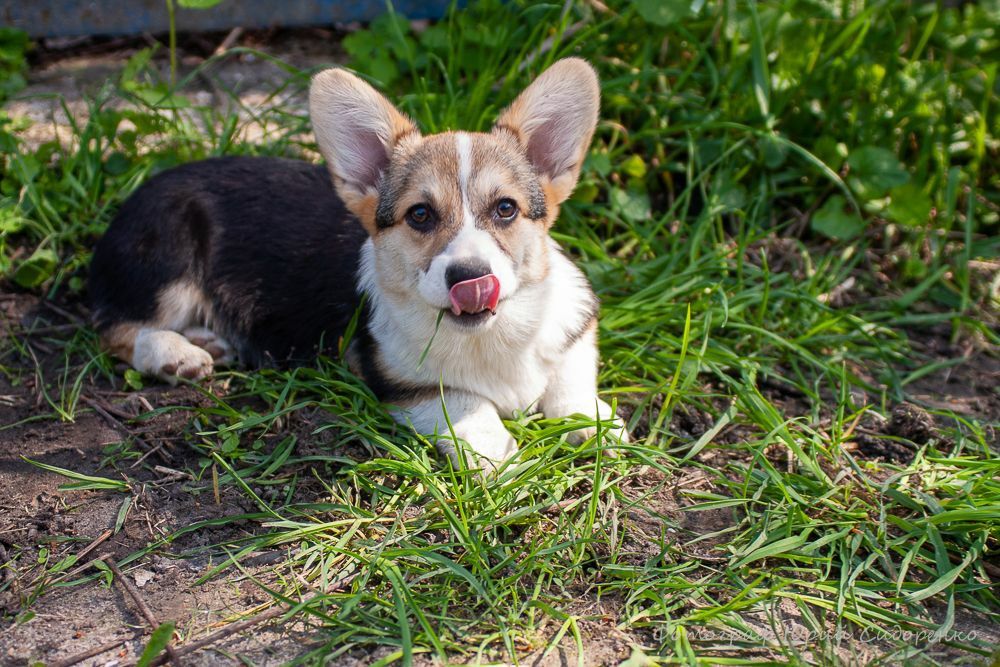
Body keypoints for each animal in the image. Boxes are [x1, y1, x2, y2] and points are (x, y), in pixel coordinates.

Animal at [90, 60, 628, 472]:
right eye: (420, 215)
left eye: (506, 209)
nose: (470, 278)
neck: (492, 337)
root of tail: (130, 197)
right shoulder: (399, 381)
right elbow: (465, 401)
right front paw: (496, 453)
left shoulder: (575, 332)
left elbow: (571, 382)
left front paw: (599, 425)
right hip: (169, 258)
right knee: (116, 328)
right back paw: (176, 354)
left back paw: (207, 341)